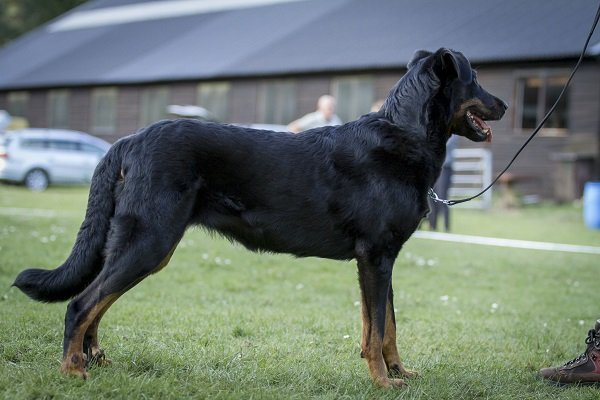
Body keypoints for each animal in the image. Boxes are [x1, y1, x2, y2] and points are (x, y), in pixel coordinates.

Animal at [14, 48, 506, 388]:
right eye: (475, 80)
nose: (504, 105)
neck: (404, 135)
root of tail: (129, 140)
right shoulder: (375, 257)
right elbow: (376, 330)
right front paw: (384, 383)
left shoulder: (383, 261)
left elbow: (386, 327)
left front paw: (400, 374)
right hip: (149, 242)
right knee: (81, 304)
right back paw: (72, 370)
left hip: (139, 246)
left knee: (97, 303)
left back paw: (93, 360)